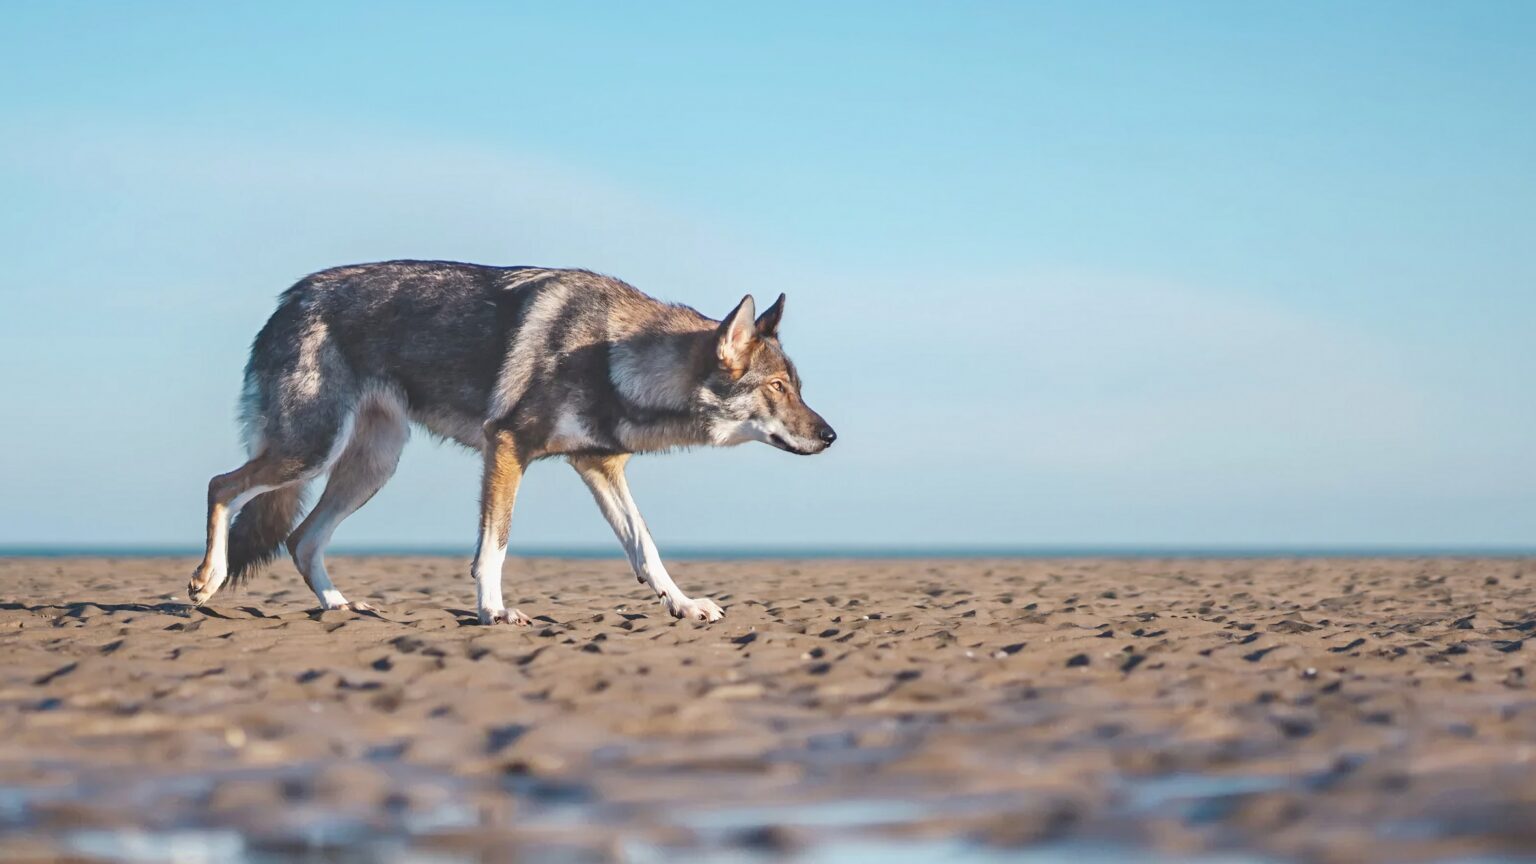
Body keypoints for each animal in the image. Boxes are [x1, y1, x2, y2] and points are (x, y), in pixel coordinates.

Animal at [187, 261, 836, 625]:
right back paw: (207, 580)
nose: (831, 435)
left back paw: (340, 606)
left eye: (798, 387)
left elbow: (645, 547)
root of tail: (289, 299)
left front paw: (682, 603)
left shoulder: (600, 467)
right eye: (778, 387)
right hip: (311, 450)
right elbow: (493, 547)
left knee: (300, 539)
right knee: (222, 486)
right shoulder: (506, 450)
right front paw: (493, 610)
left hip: (370, 465)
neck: (612, 356)